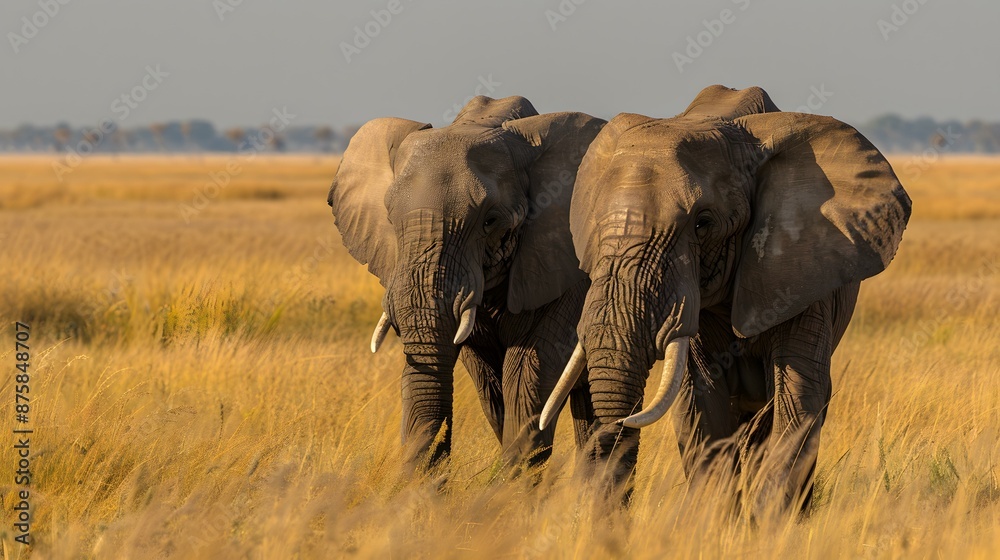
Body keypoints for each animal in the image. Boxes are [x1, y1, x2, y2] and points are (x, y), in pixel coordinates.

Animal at [327, 95, 605, 471]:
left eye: (490, 221)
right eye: (389, 218)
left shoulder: (567, 268)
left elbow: (529, 369)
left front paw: (514, 483)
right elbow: (489, 382)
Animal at [541, 85, 911, 510]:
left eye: (703, 224)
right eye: (593, 225)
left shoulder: (803, 268)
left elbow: (796, 399)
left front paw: (772, 522)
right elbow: (704, 404)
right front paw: (716, 518)